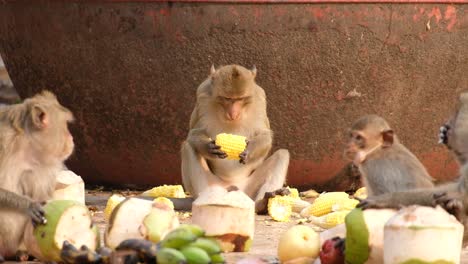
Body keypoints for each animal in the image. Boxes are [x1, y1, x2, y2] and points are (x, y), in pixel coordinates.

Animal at [0, 91, 74, 260]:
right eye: (66, 125)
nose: (72, 139)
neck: (25, 144)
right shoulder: (3, 142)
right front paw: (29, 205)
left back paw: (22, 254)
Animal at [182, 64, 288, 212]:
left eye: (240, 99)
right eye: (227, 98)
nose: (233, 113)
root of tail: (233, 185)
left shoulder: (260, 98)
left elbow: (265, 135)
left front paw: (249, 150)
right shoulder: (202, 96)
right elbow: (194, 133)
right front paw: (209, 148)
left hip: (249, 188)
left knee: (282, 155)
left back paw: (262, 203)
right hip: (215, 184)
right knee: (187, 147)